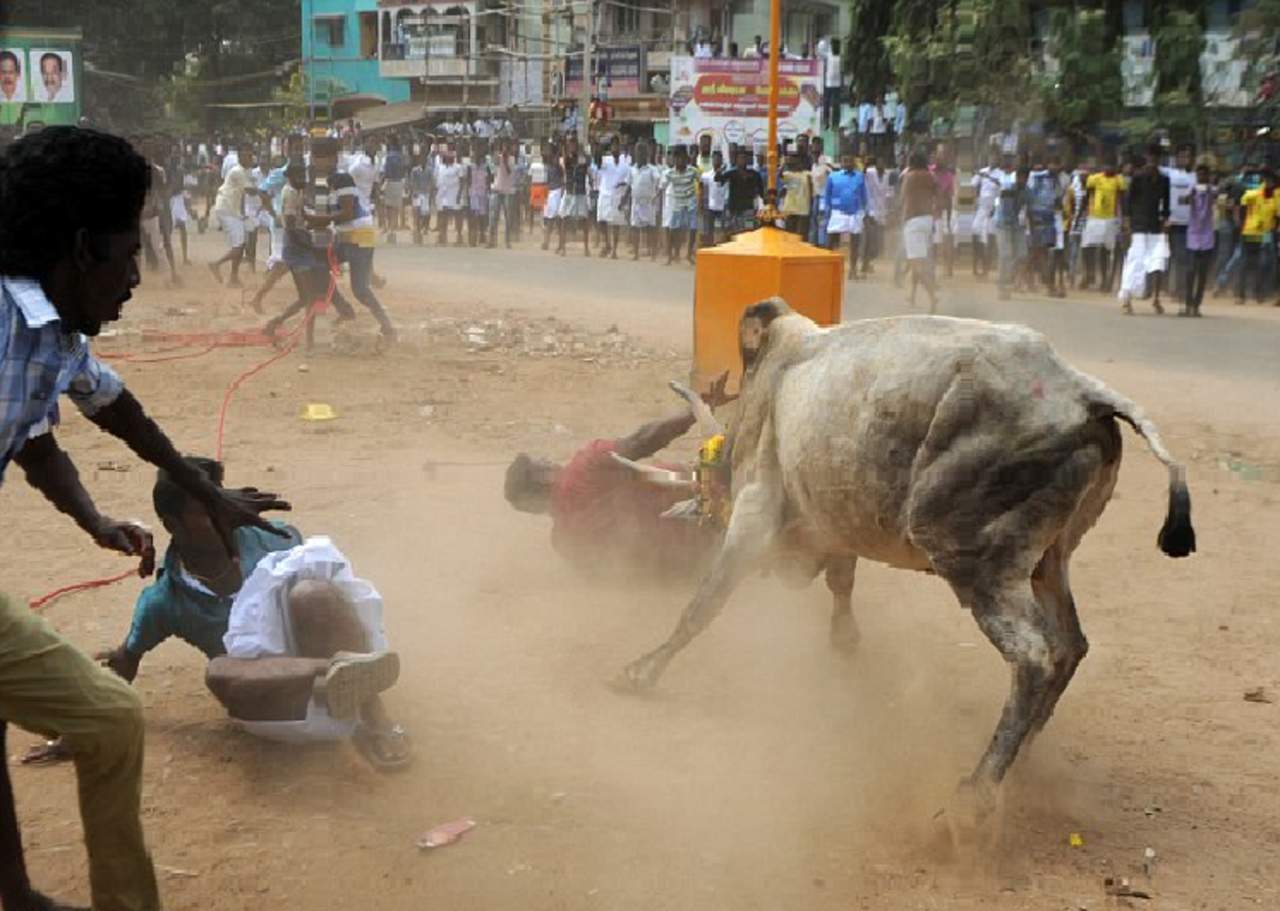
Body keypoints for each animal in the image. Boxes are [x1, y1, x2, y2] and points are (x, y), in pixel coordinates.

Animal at [614, 296, 1192, 803]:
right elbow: (841, 583)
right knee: (1071, 645)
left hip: (974, 559)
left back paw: (974, 797)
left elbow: (703, 604)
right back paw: (1021, 761)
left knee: (1035, 655)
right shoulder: (833, 526)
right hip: (1049, 561)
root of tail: (1080, 392)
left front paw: (641, 671)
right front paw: (845, 645)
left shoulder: (756, 510)